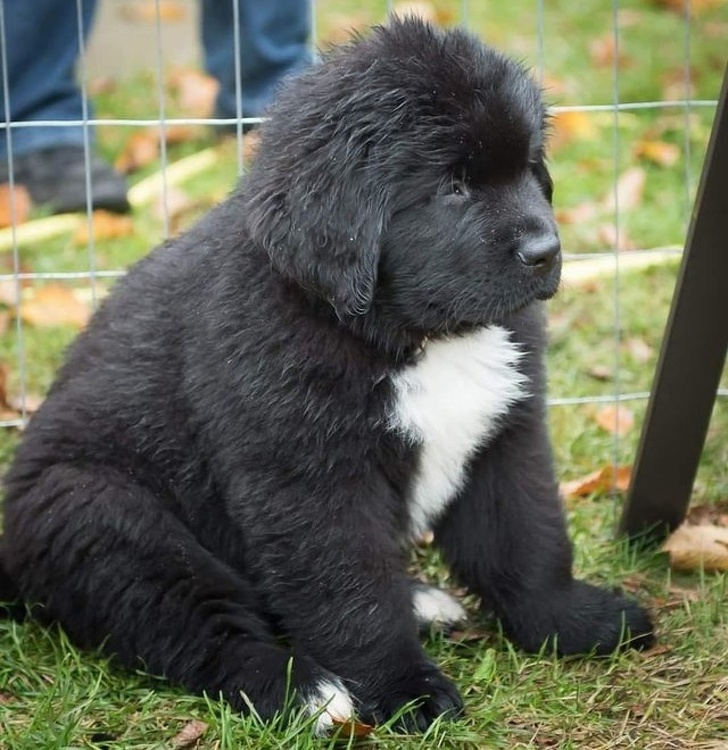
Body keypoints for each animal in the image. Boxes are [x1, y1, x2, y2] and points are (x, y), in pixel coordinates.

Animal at [0, 16, 652, 736]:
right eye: (452, 187)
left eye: (529, 168)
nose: (546, 251)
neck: (414, 336)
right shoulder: (310, 479)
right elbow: (351, 595)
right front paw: (405, 690)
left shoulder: (504, 435)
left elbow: (526, 540)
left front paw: (574, 622)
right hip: (106, 517)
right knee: (200, 627)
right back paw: (303, 692)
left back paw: (421, 602)